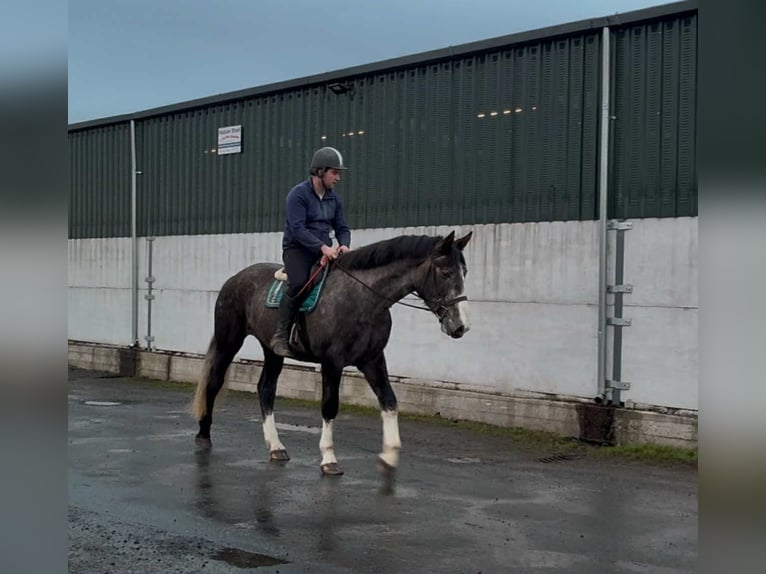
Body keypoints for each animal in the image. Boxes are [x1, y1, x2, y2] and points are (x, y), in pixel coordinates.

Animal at [191, 230, 472, 476]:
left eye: (465, 273)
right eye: (446, 272)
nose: (461, 326)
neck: (362, 299)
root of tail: (234, 279)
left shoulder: (372, 361)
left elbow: (390, 402)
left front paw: (389, 456)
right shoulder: (332, 363)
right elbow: (329, 407)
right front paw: (329, 459)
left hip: (271, 351)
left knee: (266, 389)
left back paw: (276, 446)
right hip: (229, 341)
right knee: (214, 382)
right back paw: (203, 434)